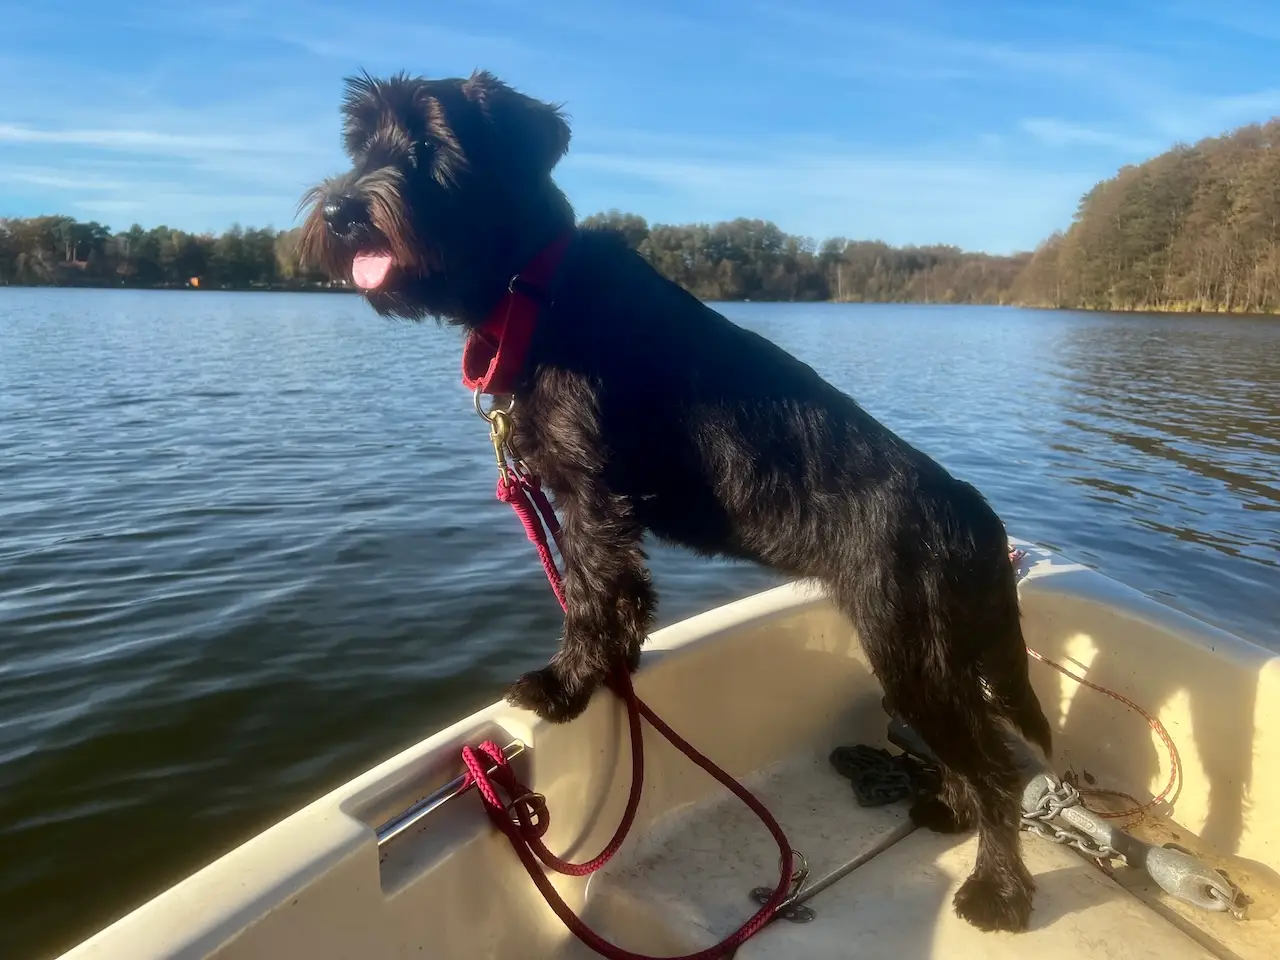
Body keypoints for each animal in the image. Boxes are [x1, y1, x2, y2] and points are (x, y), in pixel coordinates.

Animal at [300, 70, 1053, 934]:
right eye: (361, 144)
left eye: (429, 145)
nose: (339, 211)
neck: (539, 291)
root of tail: (979, 520)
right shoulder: (597, 503)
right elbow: (621, 592)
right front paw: (615, 670)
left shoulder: (591, 493)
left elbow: (591, 592)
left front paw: (565, 684)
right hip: (940, 660)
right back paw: (952, 812)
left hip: (913, 654)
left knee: (997, 768)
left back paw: (998, 888)